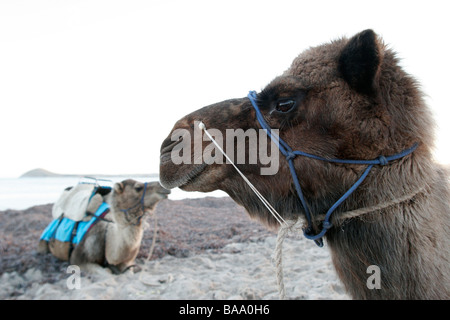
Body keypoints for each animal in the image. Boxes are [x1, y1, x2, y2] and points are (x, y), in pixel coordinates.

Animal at [37, 179, 169, 274]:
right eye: (138, 188)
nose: (163, 187)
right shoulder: (78, 258)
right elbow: (106, 272)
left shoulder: (128, 262)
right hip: (44, 242)